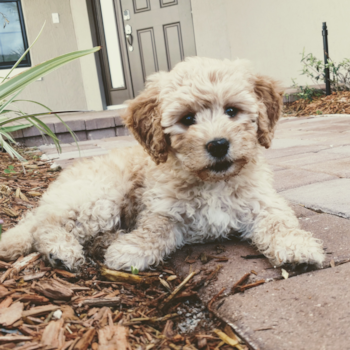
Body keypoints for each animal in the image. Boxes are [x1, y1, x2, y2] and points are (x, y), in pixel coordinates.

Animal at [0, 57, 324, 270]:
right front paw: (132, 250)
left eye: (232, 111)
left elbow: (279, 221)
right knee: (45, 227)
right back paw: (62, 251)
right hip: (99, 198)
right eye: (188, 119)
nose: (218, 145)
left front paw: (297, 247)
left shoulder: (263, 202)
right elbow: (154, 228)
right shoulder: (163, 209)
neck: (213, 183)